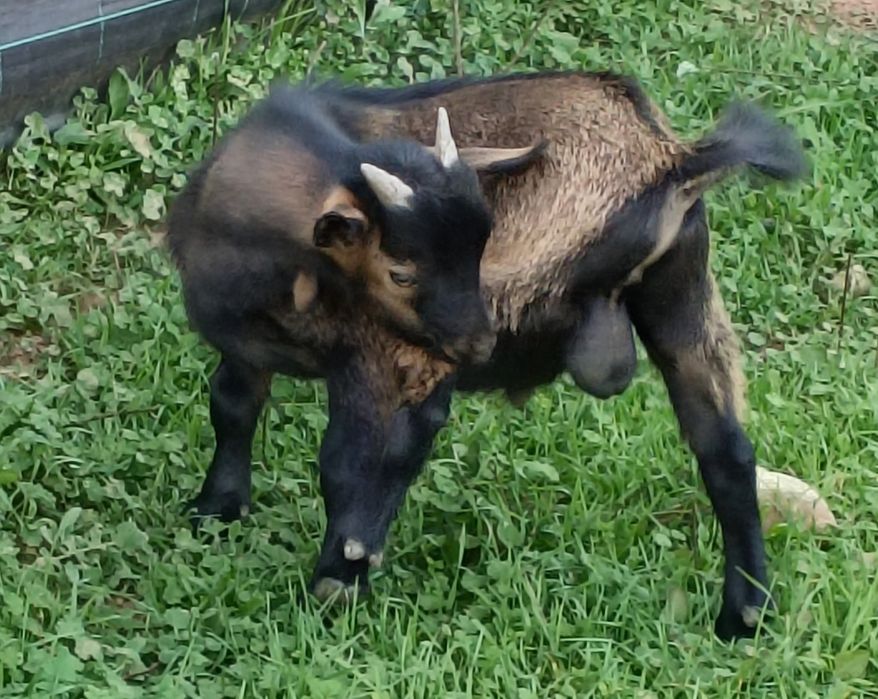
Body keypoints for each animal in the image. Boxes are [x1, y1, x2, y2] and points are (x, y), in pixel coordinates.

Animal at [166, 82, 542, 593]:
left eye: (481, 250)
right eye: (401, 274)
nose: (478, 346)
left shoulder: (367, 357)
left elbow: (353, 458)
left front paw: (343, 569)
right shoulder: (240, 343)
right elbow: (232, 406)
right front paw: (219, 506)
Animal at [293, 71, 806, 641]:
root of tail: (670, 159)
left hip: (466, 301)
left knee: (398, 433)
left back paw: (339, 577)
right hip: (682, 296)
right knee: (726, 448)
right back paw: (744, 615)